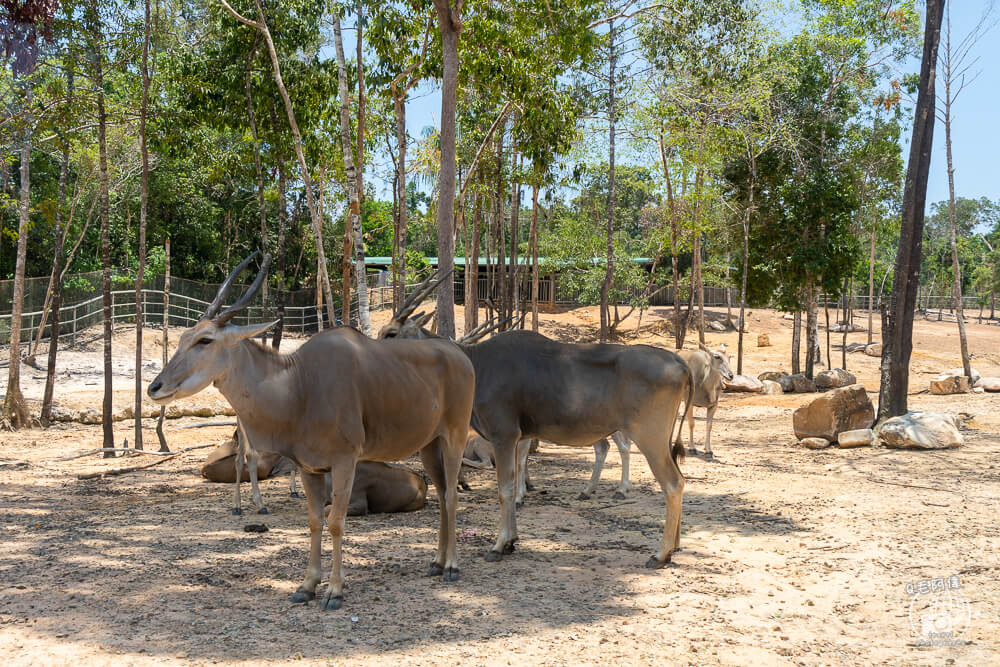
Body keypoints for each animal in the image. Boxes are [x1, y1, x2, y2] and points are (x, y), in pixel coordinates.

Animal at [148, 254, 476, 612]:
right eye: (183, 338)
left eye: (205, 340)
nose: (155, 387)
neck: (299, 384)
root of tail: (461, 356)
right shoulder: (309, 468)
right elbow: (315, 521)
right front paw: (306, 586)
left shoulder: (345, 461)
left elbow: (335, 522)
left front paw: (334, 591)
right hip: (429, 445)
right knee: (442, 494)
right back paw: (437, 563)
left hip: (455, 437)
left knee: (452, 494)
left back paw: (453, 566)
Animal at [378, 276, 692, 568]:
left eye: (391, 333)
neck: (475, 363)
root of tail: (679, 362)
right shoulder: (520, 437)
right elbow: (516, 476)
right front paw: (512, 541)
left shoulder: (504, 435)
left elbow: (504, 488)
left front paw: (499, 545)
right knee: (678, 477)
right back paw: (675, 546)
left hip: (649, 437)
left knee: (673, 483)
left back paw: (660, 554)